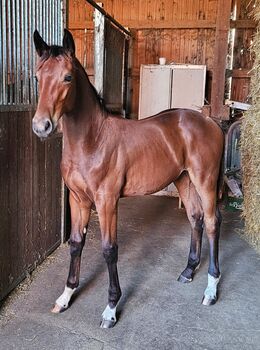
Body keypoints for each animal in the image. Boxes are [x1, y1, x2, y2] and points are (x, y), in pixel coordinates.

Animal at [32, 30, 223, 328]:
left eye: (68, 77)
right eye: (37, 77)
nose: (42, 127)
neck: (92, 139)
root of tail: (209, 121)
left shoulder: (107, 201)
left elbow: (110, 249)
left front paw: (111, 308)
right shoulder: (78, 199)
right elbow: (76, 243)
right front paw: (66, 296)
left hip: (205, 181)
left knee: (213, 222)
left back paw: (211, 290)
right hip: (183, 180)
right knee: (196, 219)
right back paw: (188, 271)